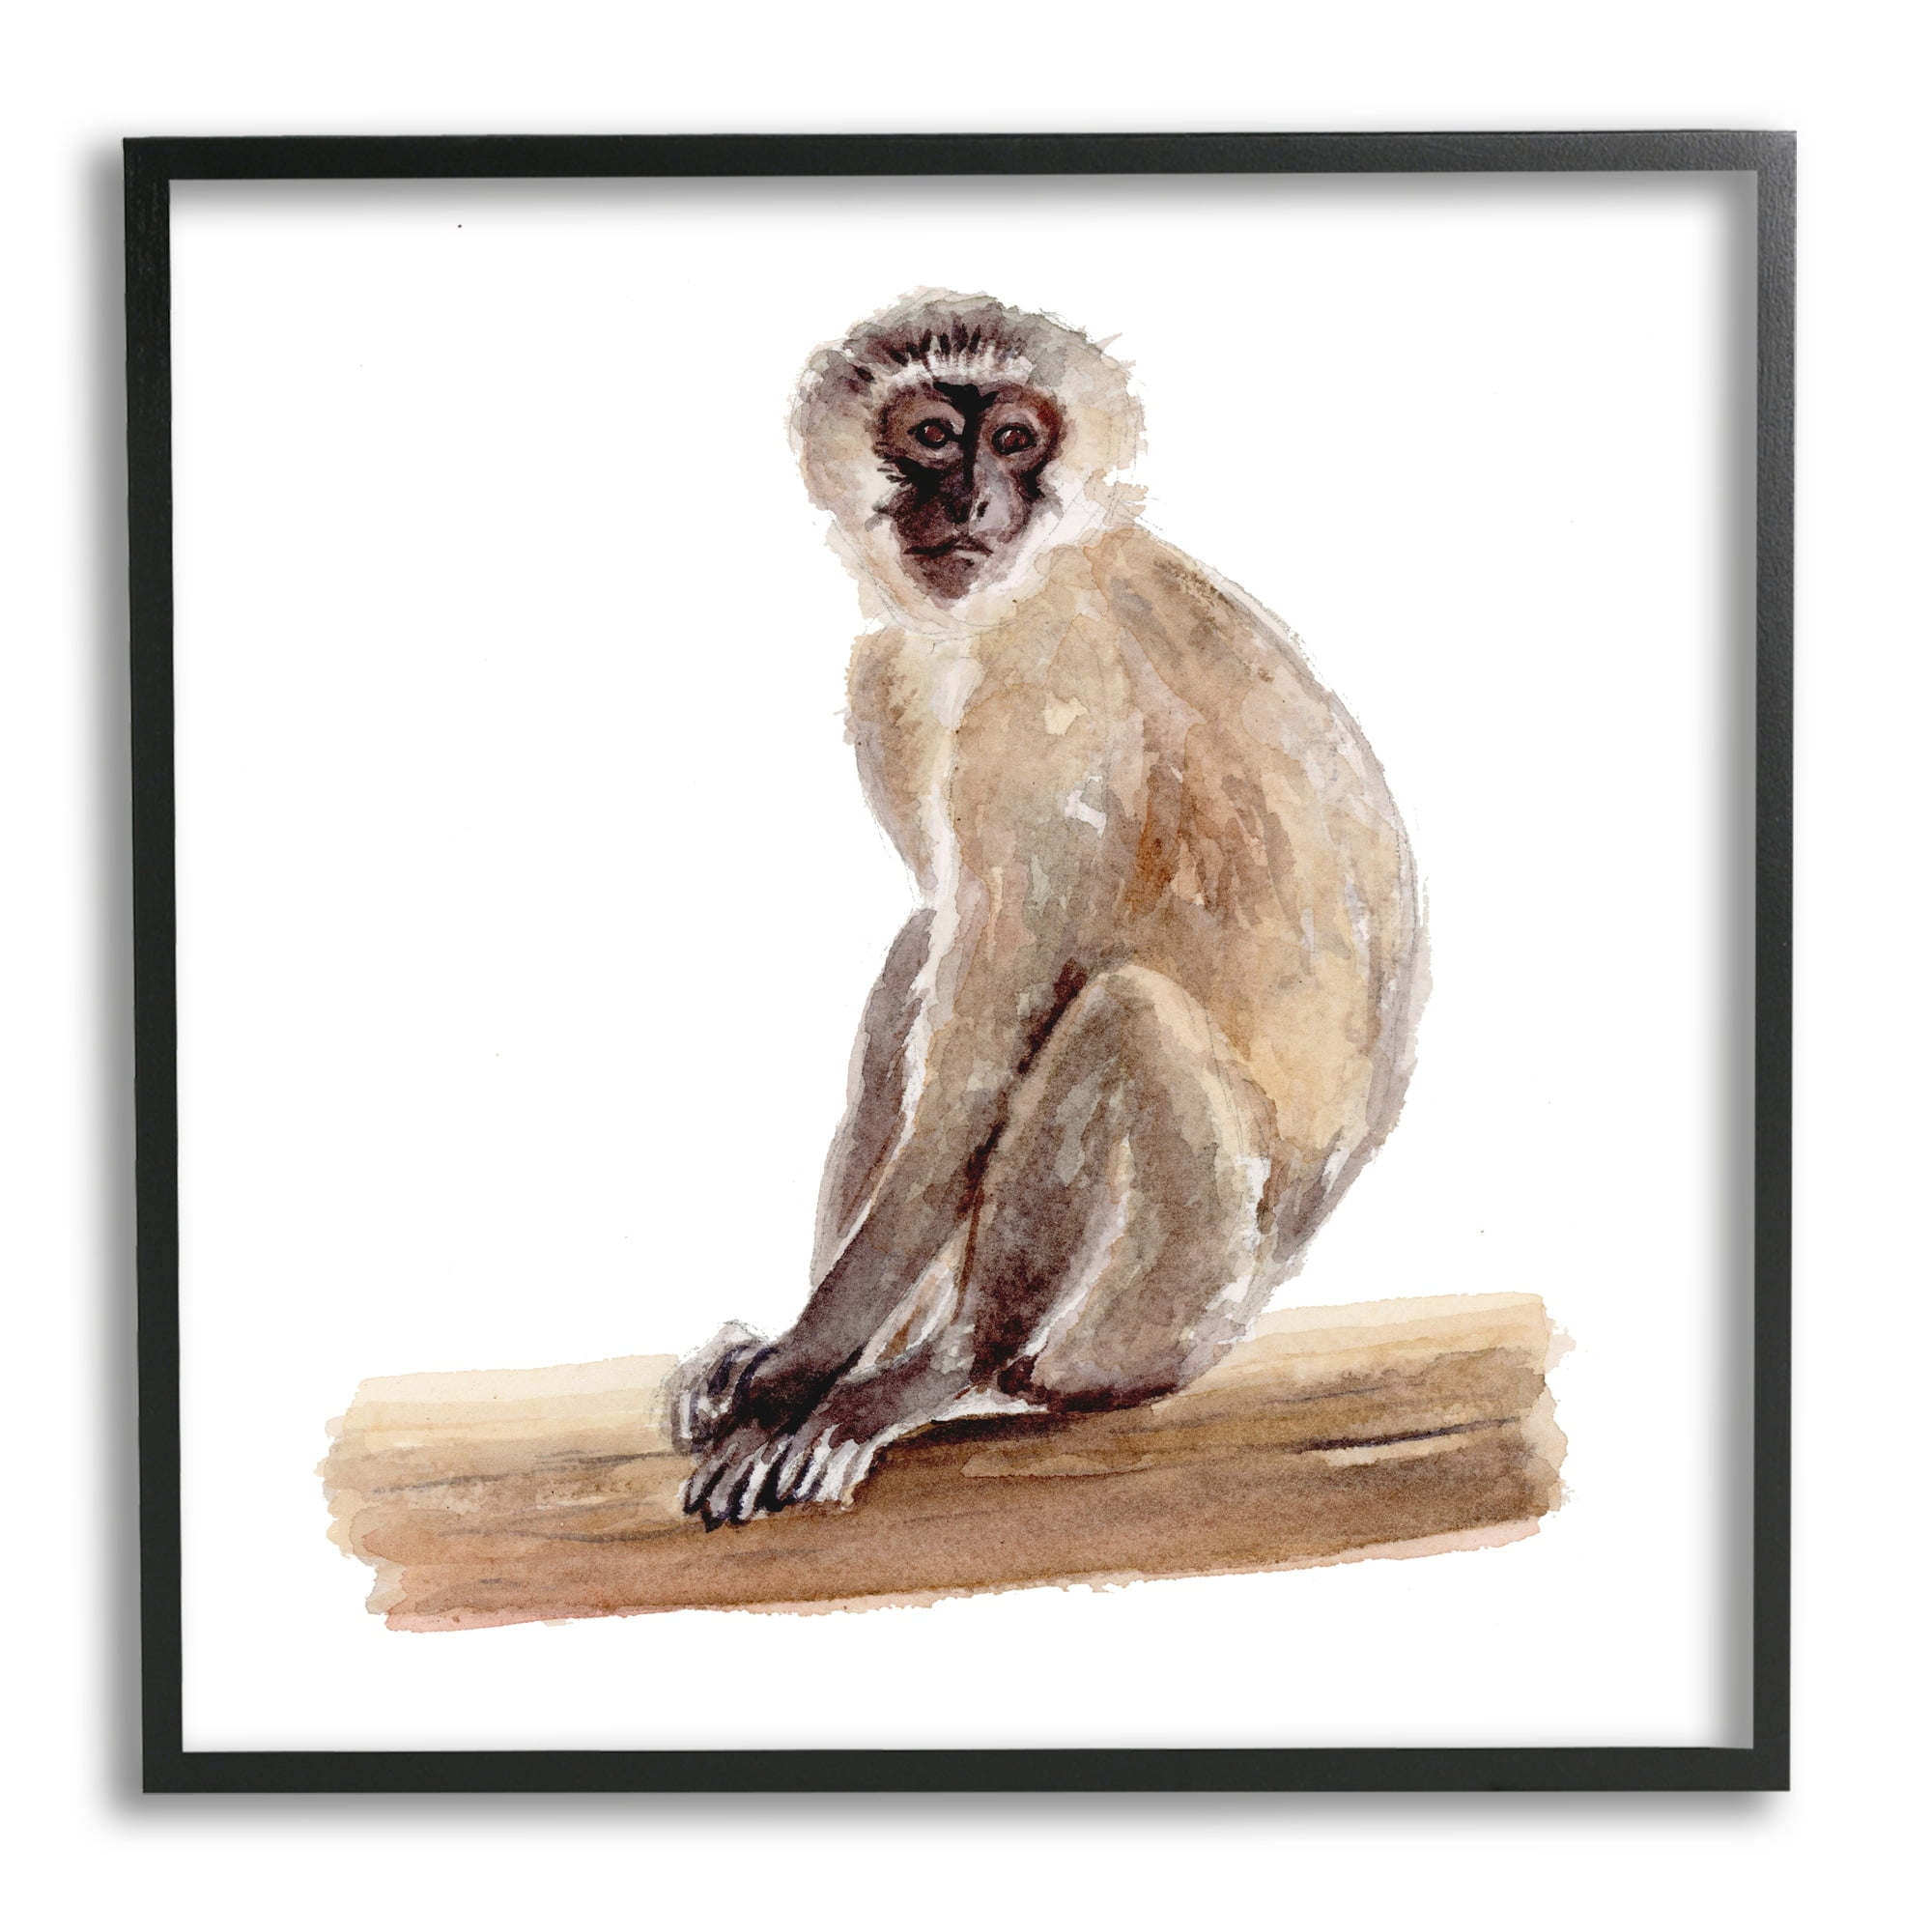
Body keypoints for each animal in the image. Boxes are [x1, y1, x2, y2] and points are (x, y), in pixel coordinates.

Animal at [673, 290, 1423, 1527]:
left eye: (1015, 440)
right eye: (934, 434)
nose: (976, 498)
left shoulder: (1053, 701)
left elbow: (985, 1054)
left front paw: (798, 1370)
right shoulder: (889, 676)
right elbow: (938, 972)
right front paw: (780, 1354)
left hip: (1168, 1312)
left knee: (1120, 1014)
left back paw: (945, 1364)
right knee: (932, 950)